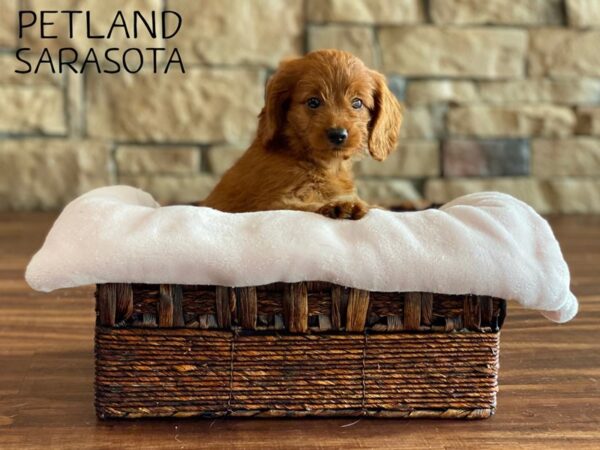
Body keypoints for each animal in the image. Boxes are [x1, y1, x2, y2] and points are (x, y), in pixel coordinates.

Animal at [202, 49, 403, 219]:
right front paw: (339, 206)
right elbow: (300, 206)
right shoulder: (270, 203)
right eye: (313, 102)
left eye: (357, 103)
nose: (338, 135)